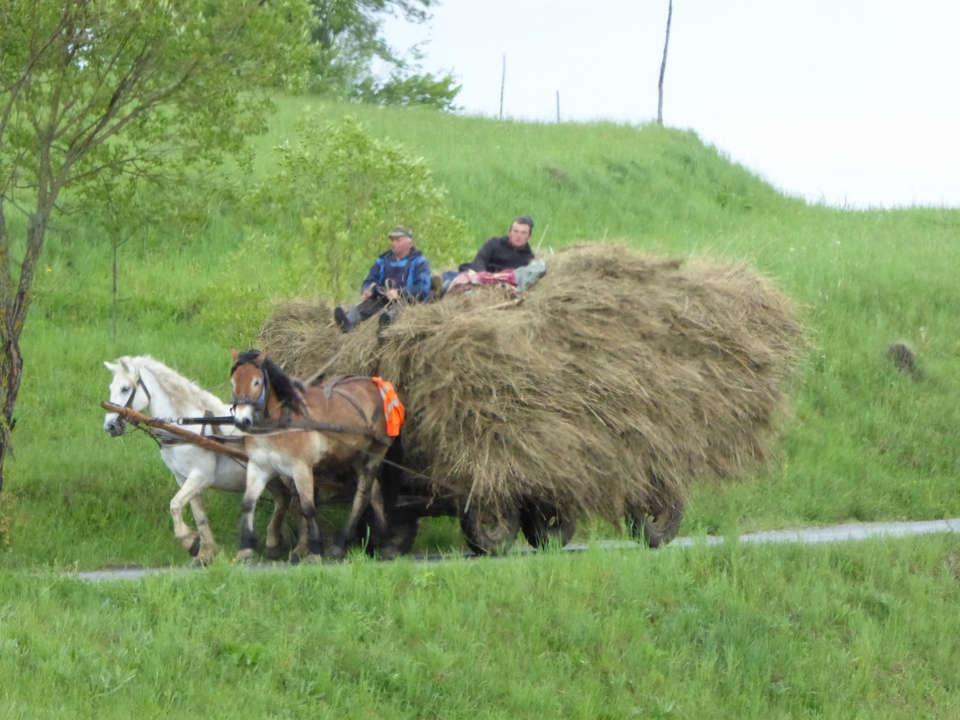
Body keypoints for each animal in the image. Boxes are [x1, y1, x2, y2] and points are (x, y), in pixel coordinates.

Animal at [103, 356, 295, 564]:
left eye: (125, 388)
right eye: (111, 387)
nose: (110, 426)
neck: (187, 427)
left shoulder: (201, 477)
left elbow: (175, 505)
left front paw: (189, 541)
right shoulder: (184, 478)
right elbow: (199, 515)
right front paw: (205, 552)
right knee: (283, 498)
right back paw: (273, 543)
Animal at [229, 348, 394, 562]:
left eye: (256, 382)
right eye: (232, 382)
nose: (242, 421)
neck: (281, 422)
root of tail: (375, 384)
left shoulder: (301, 468)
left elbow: (307, 508)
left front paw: (315, 550)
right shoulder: (259, 466)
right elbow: (248, 503)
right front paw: (245, 547)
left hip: (376, 453)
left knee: (363, 496)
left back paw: (342, 544)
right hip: (356, 456)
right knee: (374, 494)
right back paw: (384, 543)